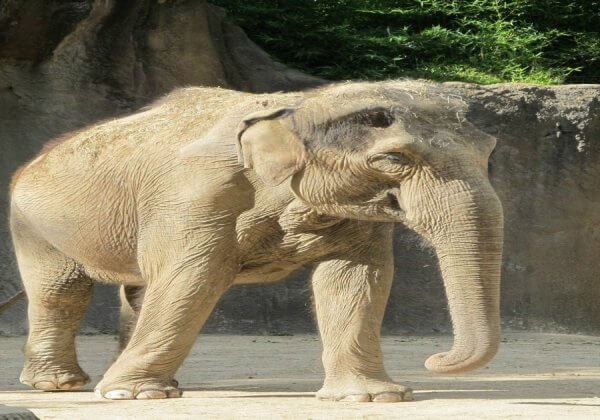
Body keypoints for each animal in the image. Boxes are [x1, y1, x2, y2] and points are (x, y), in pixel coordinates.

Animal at [11, 80, 504, 402]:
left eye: (488, 153)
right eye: (393, 158)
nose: (435, 360)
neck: (299, 106)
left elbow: (357, 280)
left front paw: (371, 399)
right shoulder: (195, 195)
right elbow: (193, 279)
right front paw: (130, 398)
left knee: (136, 292)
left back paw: (148, 383)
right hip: (32, 222)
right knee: (61, 293)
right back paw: (64, 386)